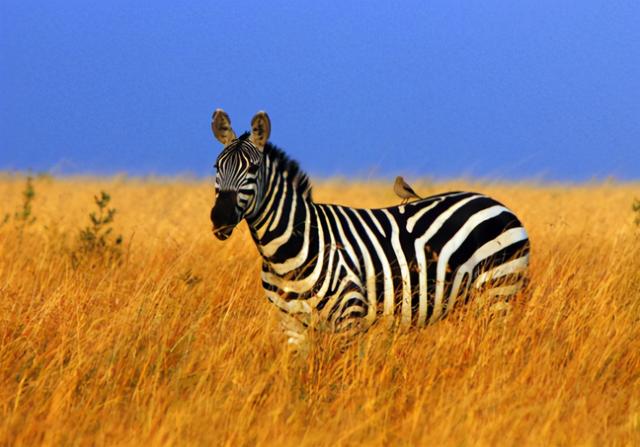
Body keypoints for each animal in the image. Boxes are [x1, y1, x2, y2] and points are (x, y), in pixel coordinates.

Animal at [210, 109, 528, 350]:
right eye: (216, 167)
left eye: (252, 168)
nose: (220, 218)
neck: (287, 251)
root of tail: (498, 203)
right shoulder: (291, 325)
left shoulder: (350, 317)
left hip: (498, 290)